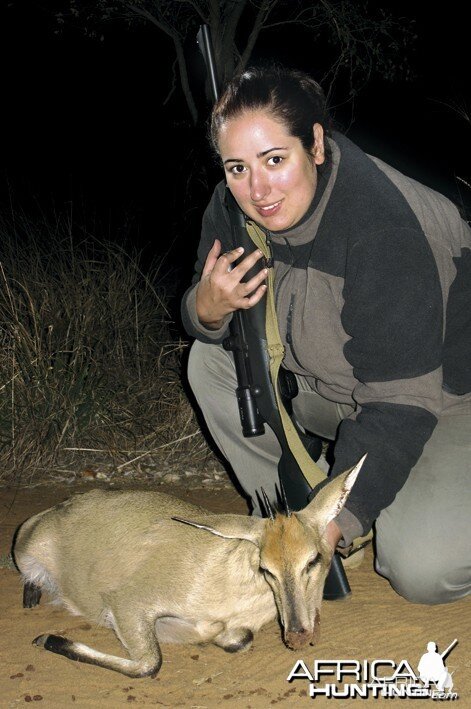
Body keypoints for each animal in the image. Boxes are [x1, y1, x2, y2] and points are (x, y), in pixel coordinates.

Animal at [12, 454, 366, 676]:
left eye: (313, 559)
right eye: (266, 568)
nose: (298, 634)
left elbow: (239, 640)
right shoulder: (126, 603)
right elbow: (150, 664)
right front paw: (46, 639)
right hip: (26, 553)